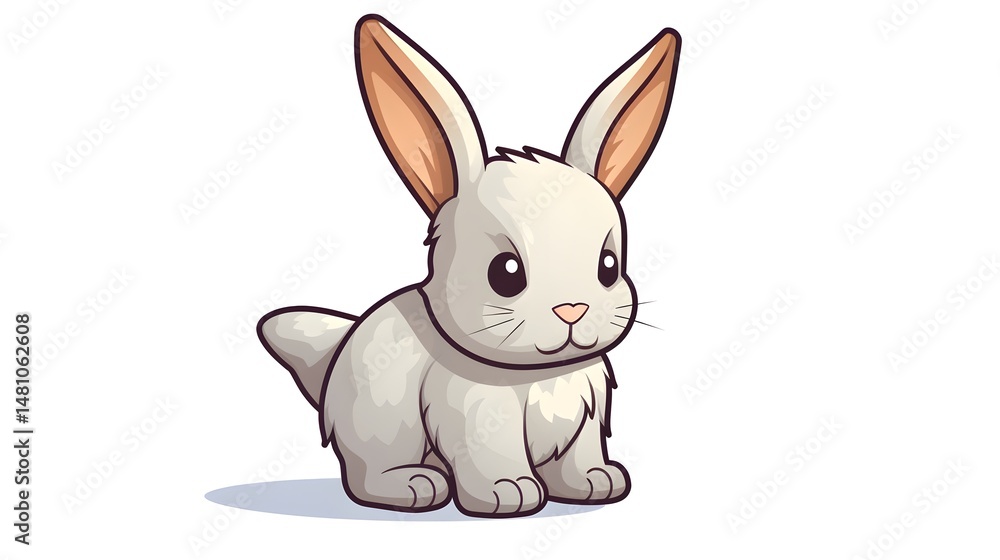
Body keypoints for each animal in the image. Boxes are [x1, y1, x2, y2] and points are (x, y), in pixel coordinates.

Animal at [257, 14, 681, 518]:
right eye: (506, 273)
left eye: (609, 266)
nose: (571, 310)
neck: (538, 373)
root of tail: (337, 349)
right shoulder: (477, 418)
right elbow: (494, 460)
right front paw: (509, 494)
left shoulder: (585, 416)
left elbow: (579, 459)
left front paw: (598, 483)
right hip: (380, 422)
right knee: (367, 473)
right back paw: (415, 485)